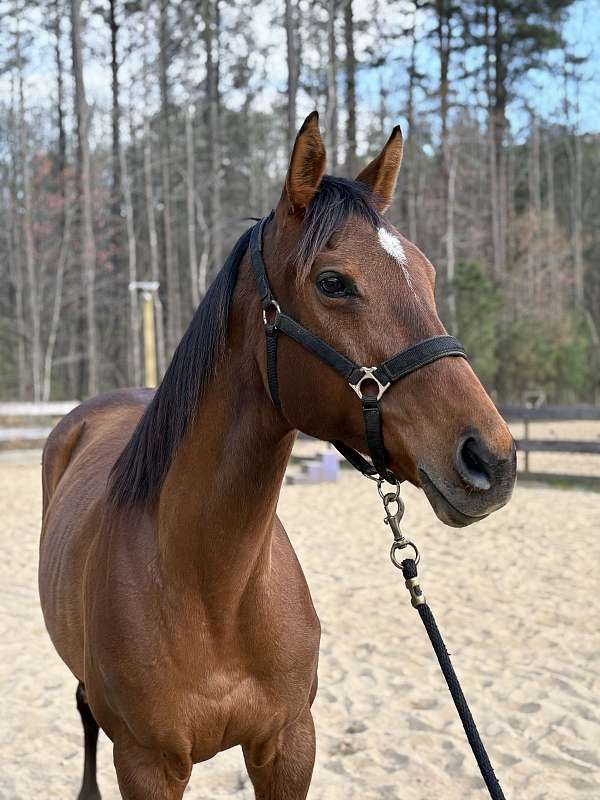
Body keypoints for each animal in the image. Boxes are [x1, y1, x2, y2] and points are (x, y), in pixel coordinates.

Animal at [39, 111, 516, 800]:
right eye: (333, 282)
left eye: (427, 275)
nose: (492, 459)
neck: (211, 590)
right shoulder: (146, 765)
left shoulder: (289, 744)